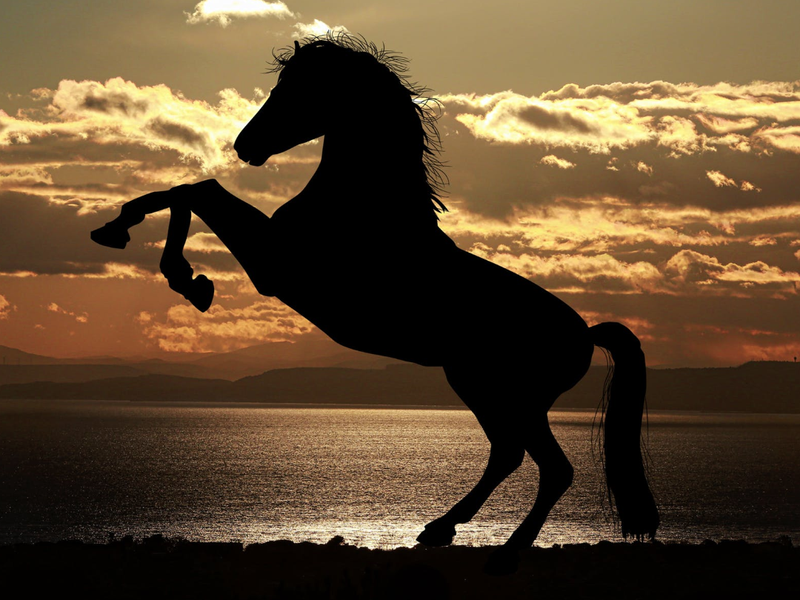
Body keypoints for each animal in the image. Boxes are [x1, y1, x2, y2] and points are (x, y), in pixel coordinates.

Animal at [91, 34, 659, 574]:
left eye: (298, 89)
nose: (245, 145)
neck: (363, 208)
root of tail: (585, 333)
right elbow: (188, 189)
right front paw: (123, 233)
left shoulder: (274, 266)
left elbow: (197, 190)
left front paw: (184, 276)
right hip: (478, 386)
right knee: (508, 454)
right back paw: (439, 529)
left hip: (510, 395)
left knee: (550, 468)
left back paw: (503, 554)